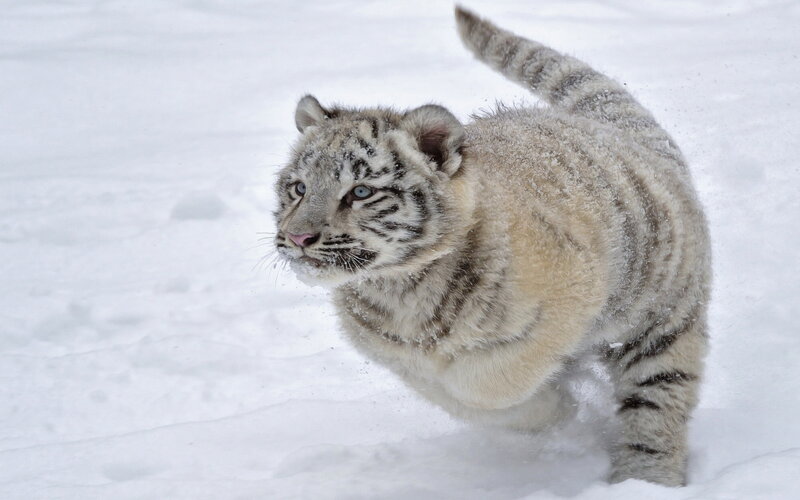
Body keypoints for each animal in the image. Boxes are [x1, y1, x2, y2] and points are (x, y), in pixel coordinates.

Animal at [273, 6, 711, 487]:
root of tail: (617, 132)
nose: (298, 237)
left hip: (662, 324)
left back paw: (645, 480)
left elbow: (489, 382)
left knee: (655, 408)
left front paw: (559, 407)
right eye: (299, 188)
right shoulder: (404, 361)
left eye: (361, 192)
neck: (400, 289)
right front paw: (552, 408)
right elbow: (462, 397)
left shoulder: (567, 301)